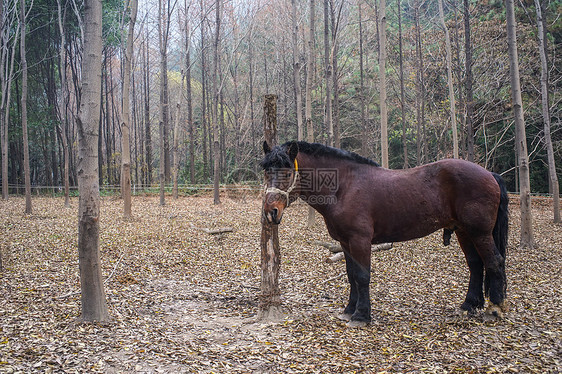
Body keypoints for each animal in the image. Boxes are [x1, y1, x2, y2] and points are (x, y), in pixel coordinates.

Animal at [260, 142, 506, 326]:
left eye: (287, 172)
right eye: (266, 171)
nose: (271, 211)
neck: (344, 187)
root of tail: (490, 174)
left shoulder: (360, 240)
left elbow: (362, 276)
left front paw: (361, 315)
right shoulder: (345, 242)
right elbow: (351, 275)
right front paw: (349, 310)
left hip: (480, 232)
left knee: (494, 261)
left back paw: (494, 308)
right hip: (464, 232)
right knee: (476, 264)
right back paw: (469, 305)